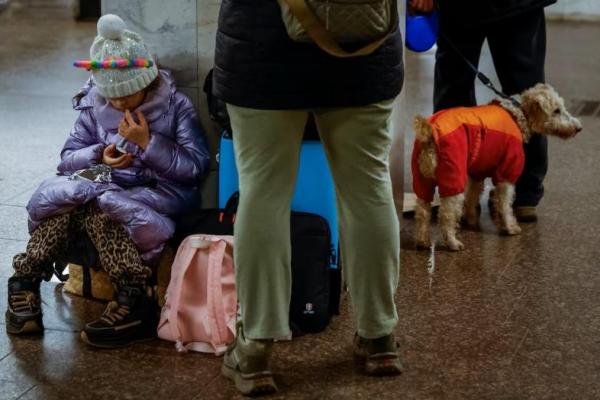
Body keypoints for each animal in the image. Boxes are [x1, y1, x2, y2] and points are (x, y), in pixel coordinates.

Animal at [412, 83, 580, 250]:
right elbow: (505, 204)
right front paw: (510, 227)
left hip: (422, 181)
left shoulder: (477, 171)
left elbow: (472, 196)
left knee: (422, 211)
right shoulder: (507, 172)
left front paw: (471, 219)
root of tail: (429, 131)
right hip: (453, 178)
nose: (578, 128)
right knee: (446, 214)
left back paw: (422, 240)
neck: (519, 113)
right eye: (556, 110)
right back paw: (452, 242)